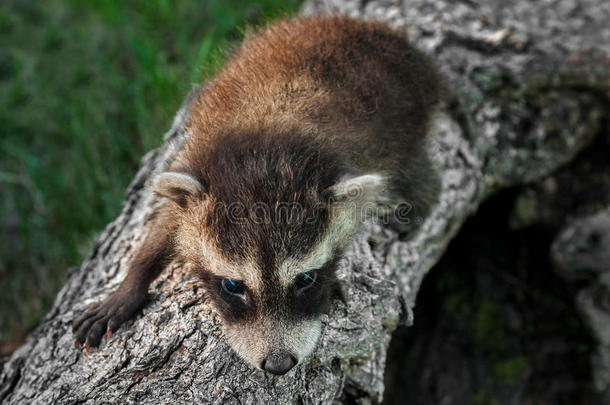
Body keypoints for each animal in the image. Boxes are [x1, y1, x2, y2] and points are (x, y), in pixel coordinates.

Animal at [72, 15, 442, 376]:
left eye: (306, 279)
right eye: (233, 286)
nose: (279, 365)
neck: (263, 156)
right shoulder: (200, 170)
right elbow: (166, 224)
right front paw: (131, 283)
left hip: (406, 125)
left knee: (419, 177)